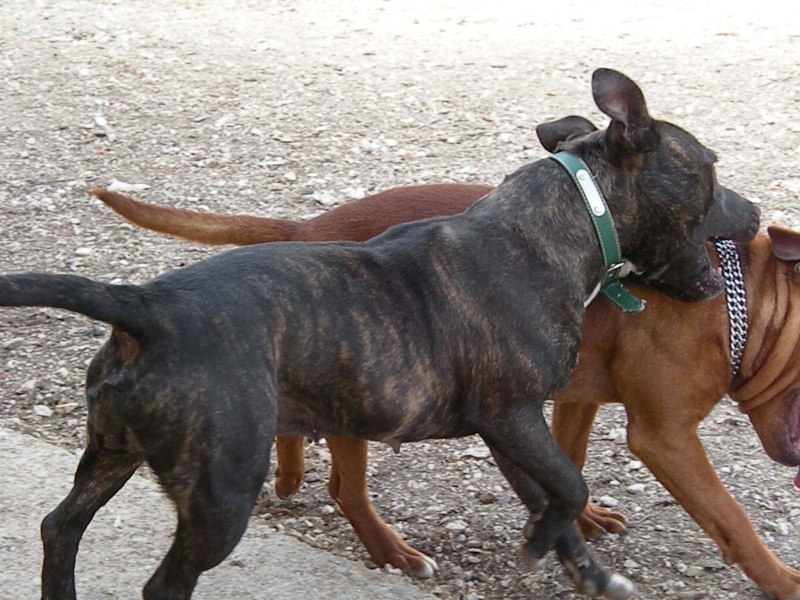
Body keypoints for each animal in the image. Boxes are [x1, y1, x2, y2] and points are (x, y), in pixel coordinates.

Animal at [92, 186, 792, 596]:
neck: (741, 300)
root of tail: (308, 227)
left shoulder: (568, 400)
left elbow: (568, 465)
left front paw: (579, 523)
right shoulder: (665, 437)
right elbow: (731, 519)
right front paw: (783, 579)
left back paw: (291, 474)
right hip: (362, 399)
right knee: (347, 489)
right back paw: (394, 552)